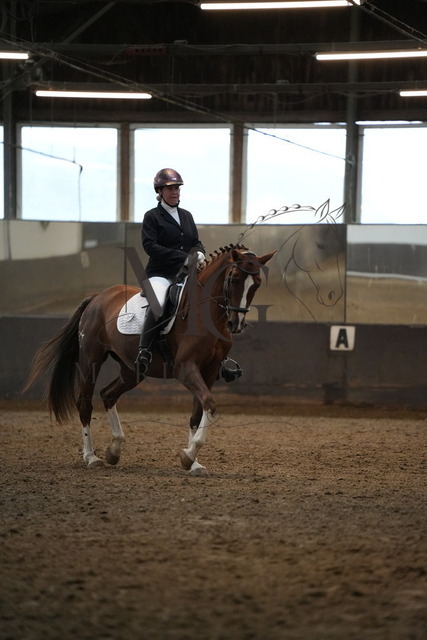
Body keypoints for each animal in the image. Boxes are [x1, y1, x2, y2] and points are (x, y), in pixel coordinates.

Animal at [24, 245, 276, 476]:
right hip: (90, 360)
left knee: (108, 394)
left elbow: (199, 411)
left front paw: (192, 461)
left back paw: (114, 450)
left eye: (257, 283)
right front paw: (188, 455)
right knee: (85, 403)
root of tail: (98, 297)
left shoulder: (210, 371)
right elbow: (210, 404)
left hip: (132, 369)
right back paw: (91, 457)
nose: (236, 324)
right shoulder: (186, 368)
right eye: (233, 279)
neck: (205, 314)